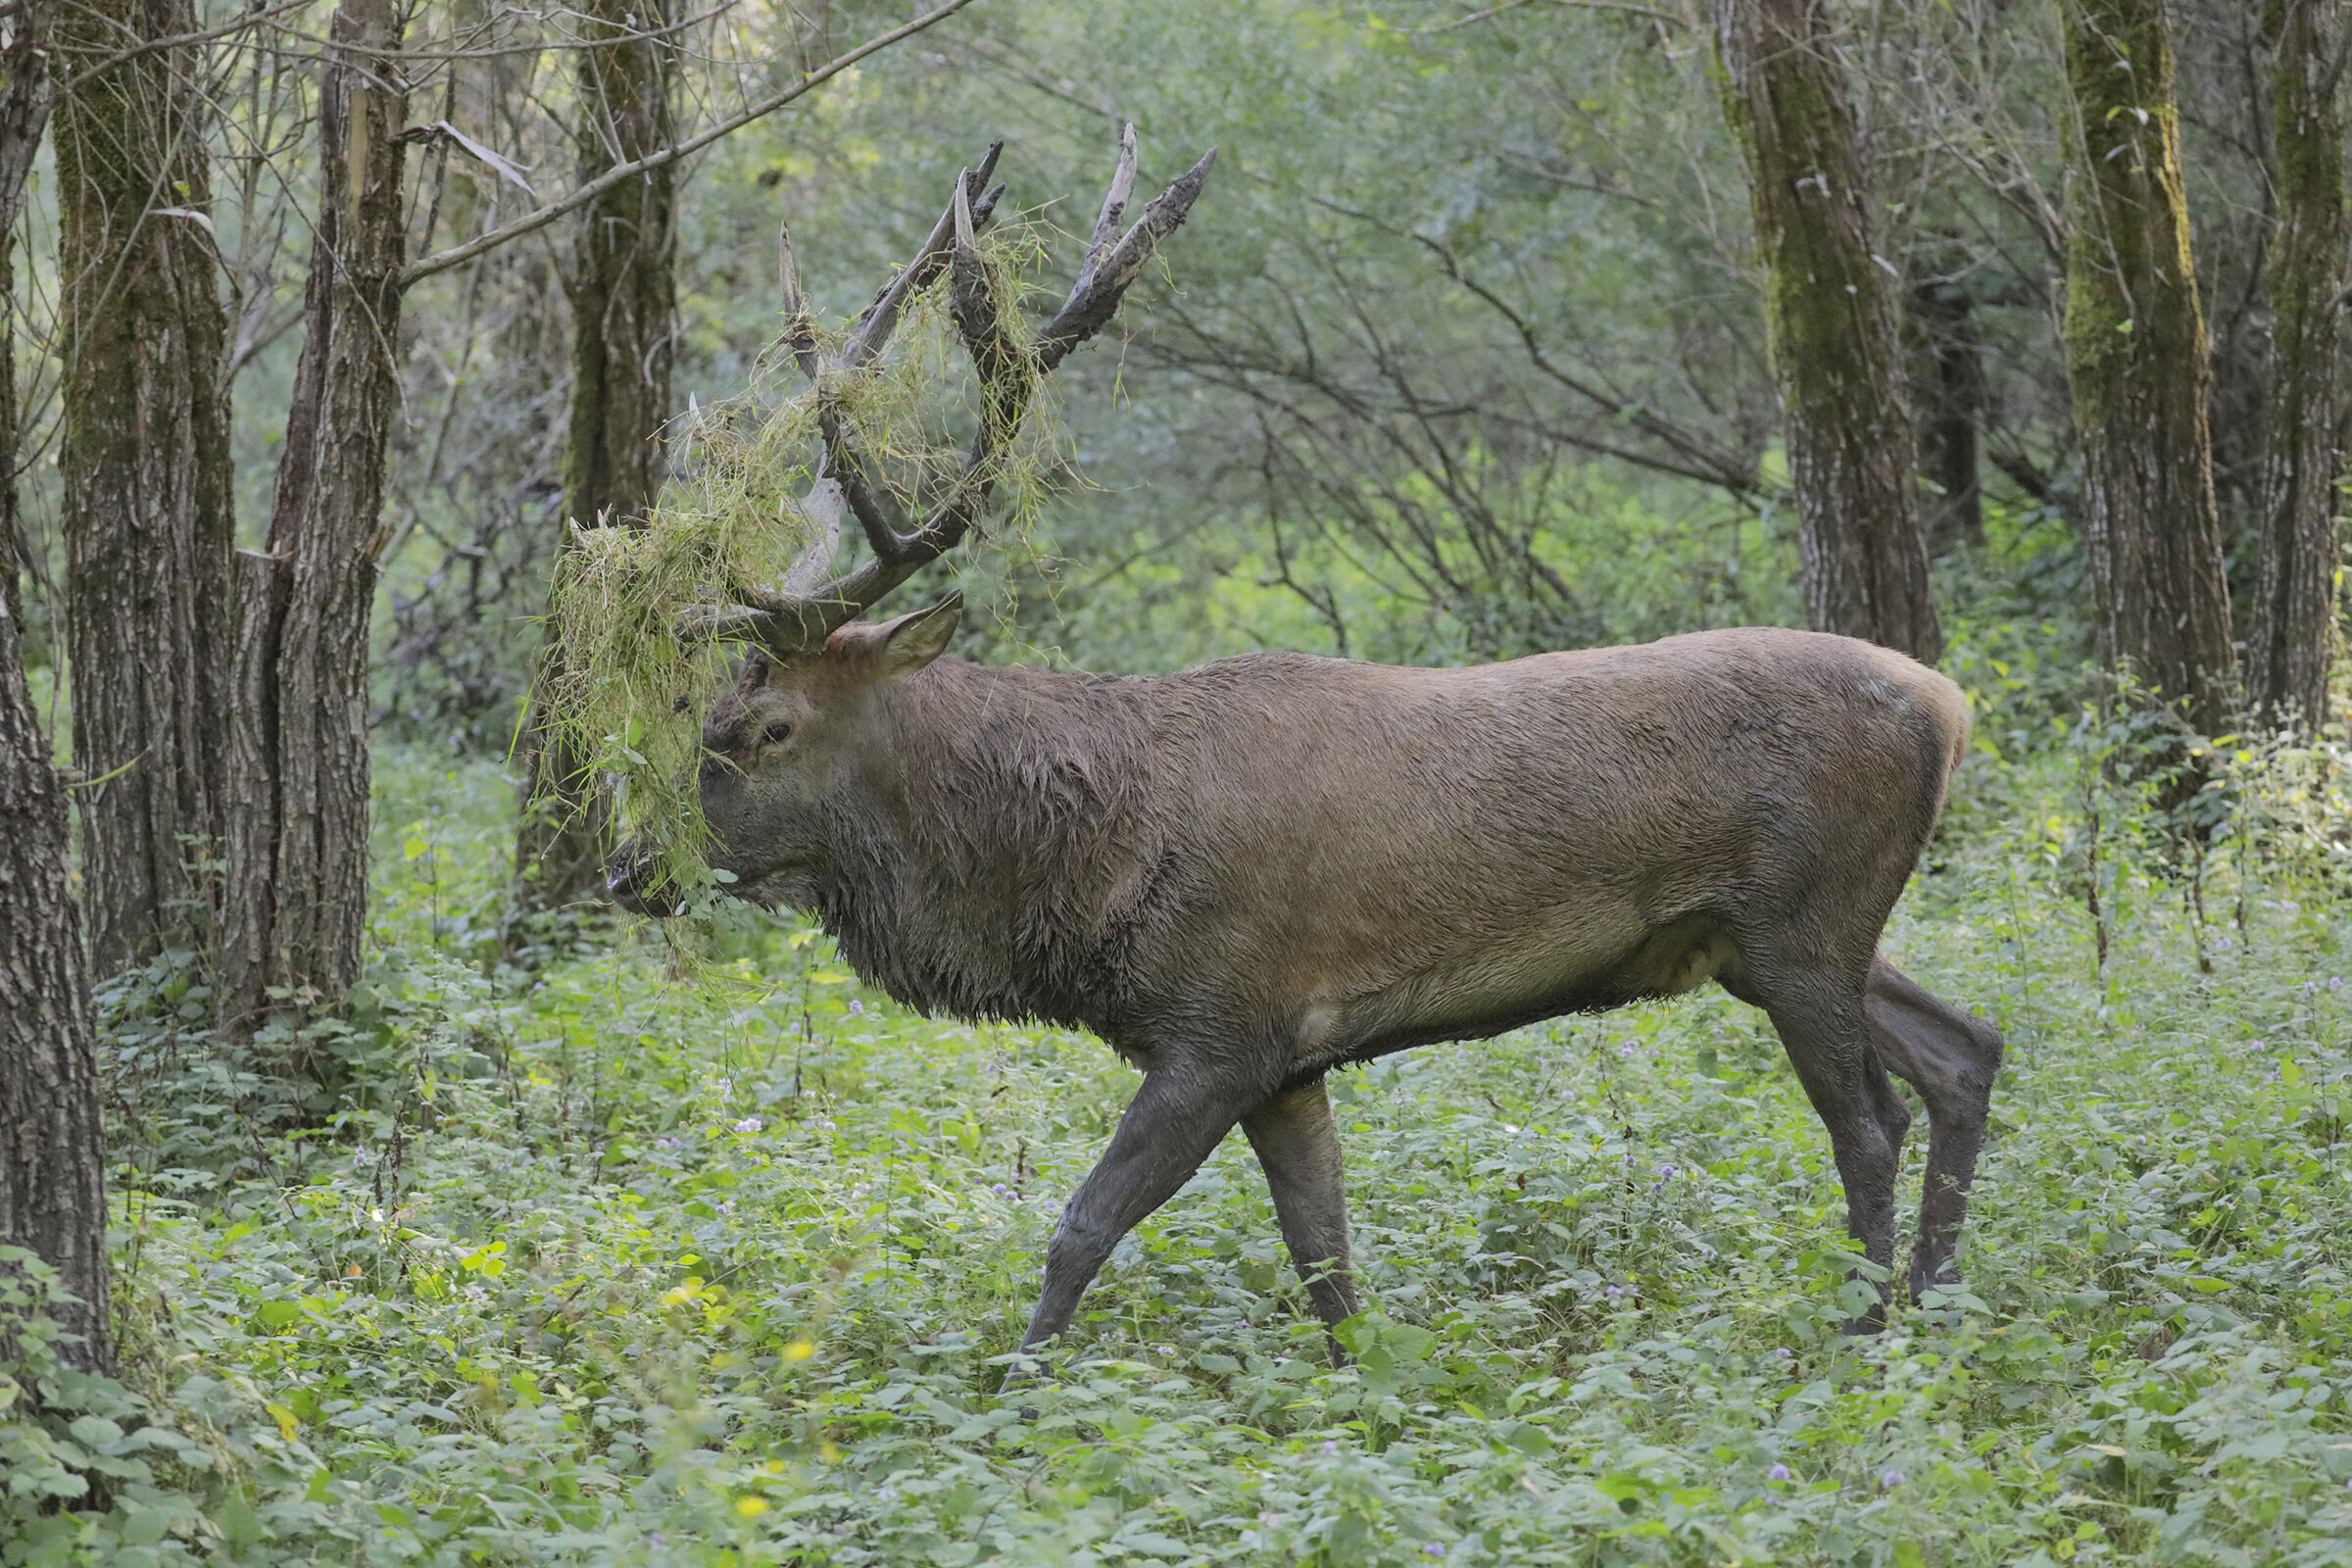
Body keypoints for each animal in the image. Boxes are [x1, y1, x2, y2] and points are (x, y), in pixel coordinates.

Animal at [604, 131, 2006, 1378]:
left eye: (766, 727)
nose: (626, 868)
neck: (1084, 872)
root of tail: (1951, 706)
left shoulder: (1220, 1023)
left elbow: (1079, 1226)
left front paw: (1012, 1402)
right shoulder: (1289, 1063)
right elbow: (1327, 1268)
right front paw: (1371, 1408)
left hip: (1803, 919)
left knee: (1868, 1121)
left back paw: (1863, 1340)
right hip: (1780, 939)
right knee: (1967, 1048)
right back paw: (1937, 1308)